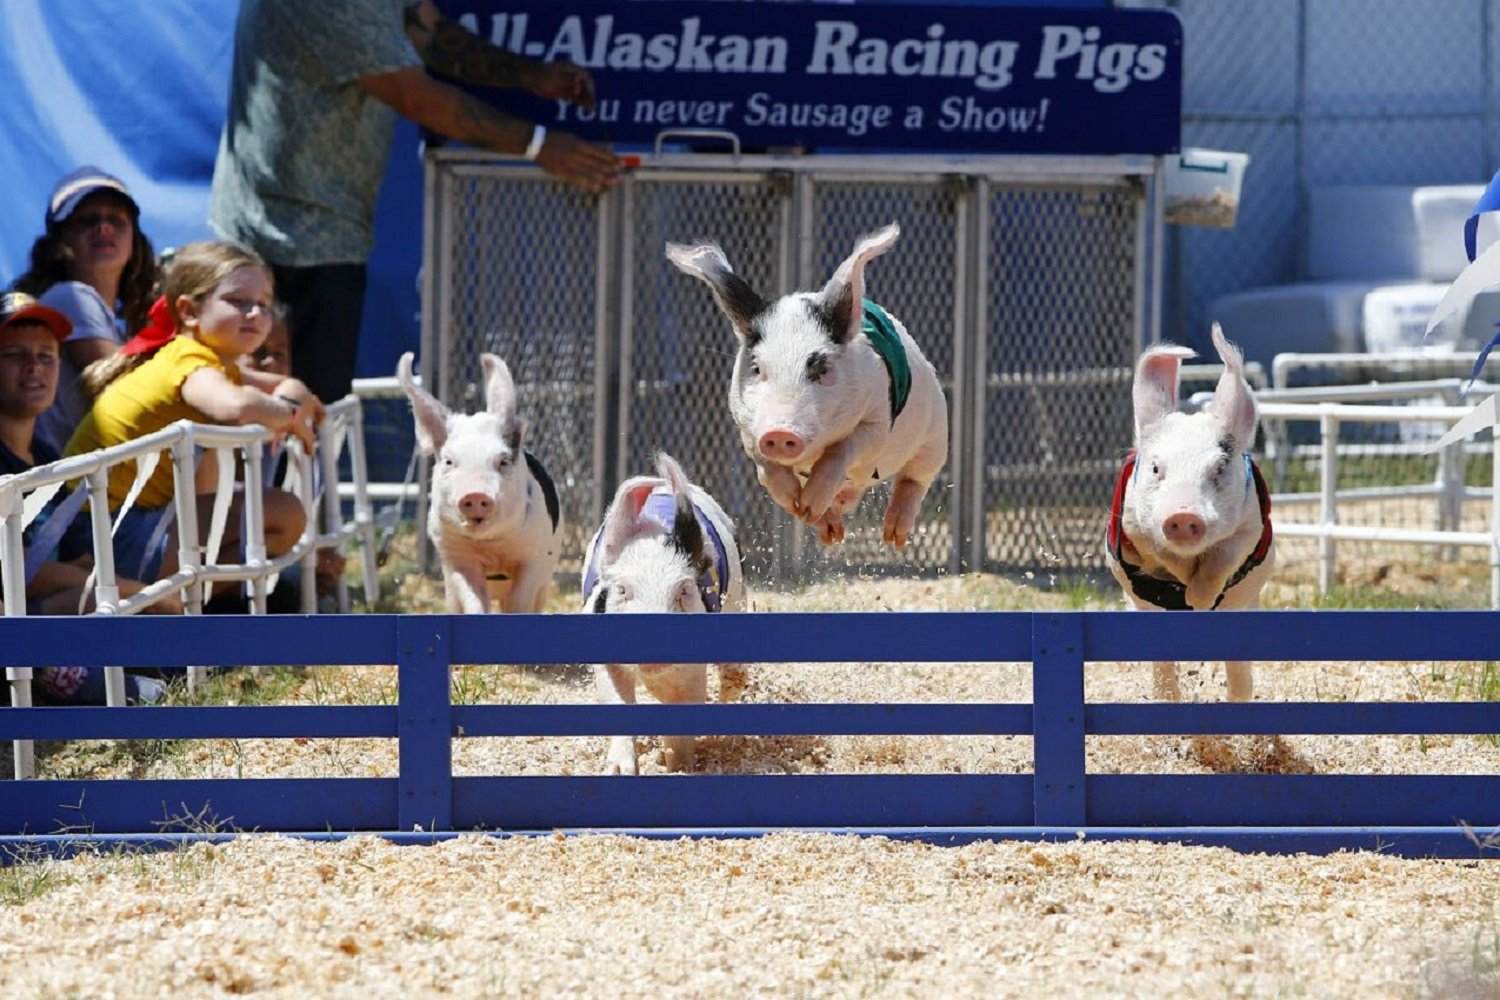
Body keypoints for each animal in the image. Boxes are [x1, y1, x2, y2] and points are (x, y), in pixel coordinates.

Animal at [399, 352, 564, 617]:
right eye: (449, 461)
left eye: (503, 461)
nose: (475, 495)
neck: (492, 546)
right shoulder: (454, 555)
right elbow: (473, 599)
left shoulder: (535, 555)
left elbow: (520, 599)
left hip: (546, 580)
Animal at [579, 452, 744, 773]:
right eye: (622, 590)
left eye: (684, 591)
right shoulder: (605, 658)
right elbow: (617, 701)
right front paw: (620, 771)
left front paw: (679, 767)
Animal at [669, 221, 948, 548]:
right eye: (757, 368)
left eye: (822, 369)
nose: (779, 432)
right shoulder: (747, 426)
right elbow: (765, 467)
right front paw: (799, 506)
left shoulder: (877, 418)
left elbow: (842, 449)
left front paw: (809, 504)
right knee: (851, 496)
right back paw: (831, 531)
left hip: (936, 433)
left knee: (915, 478)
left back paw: (893, 537)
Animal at [1110, 325, 1272, 701]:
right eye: (1156, 468)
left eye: (1219, 468)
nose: (1183, 515)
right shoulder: (1133, 527)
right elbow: (1161, 552)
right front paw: (1186, 590)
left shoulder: (1251, 526)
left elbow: (1224, 556)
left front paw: (1197, 598)